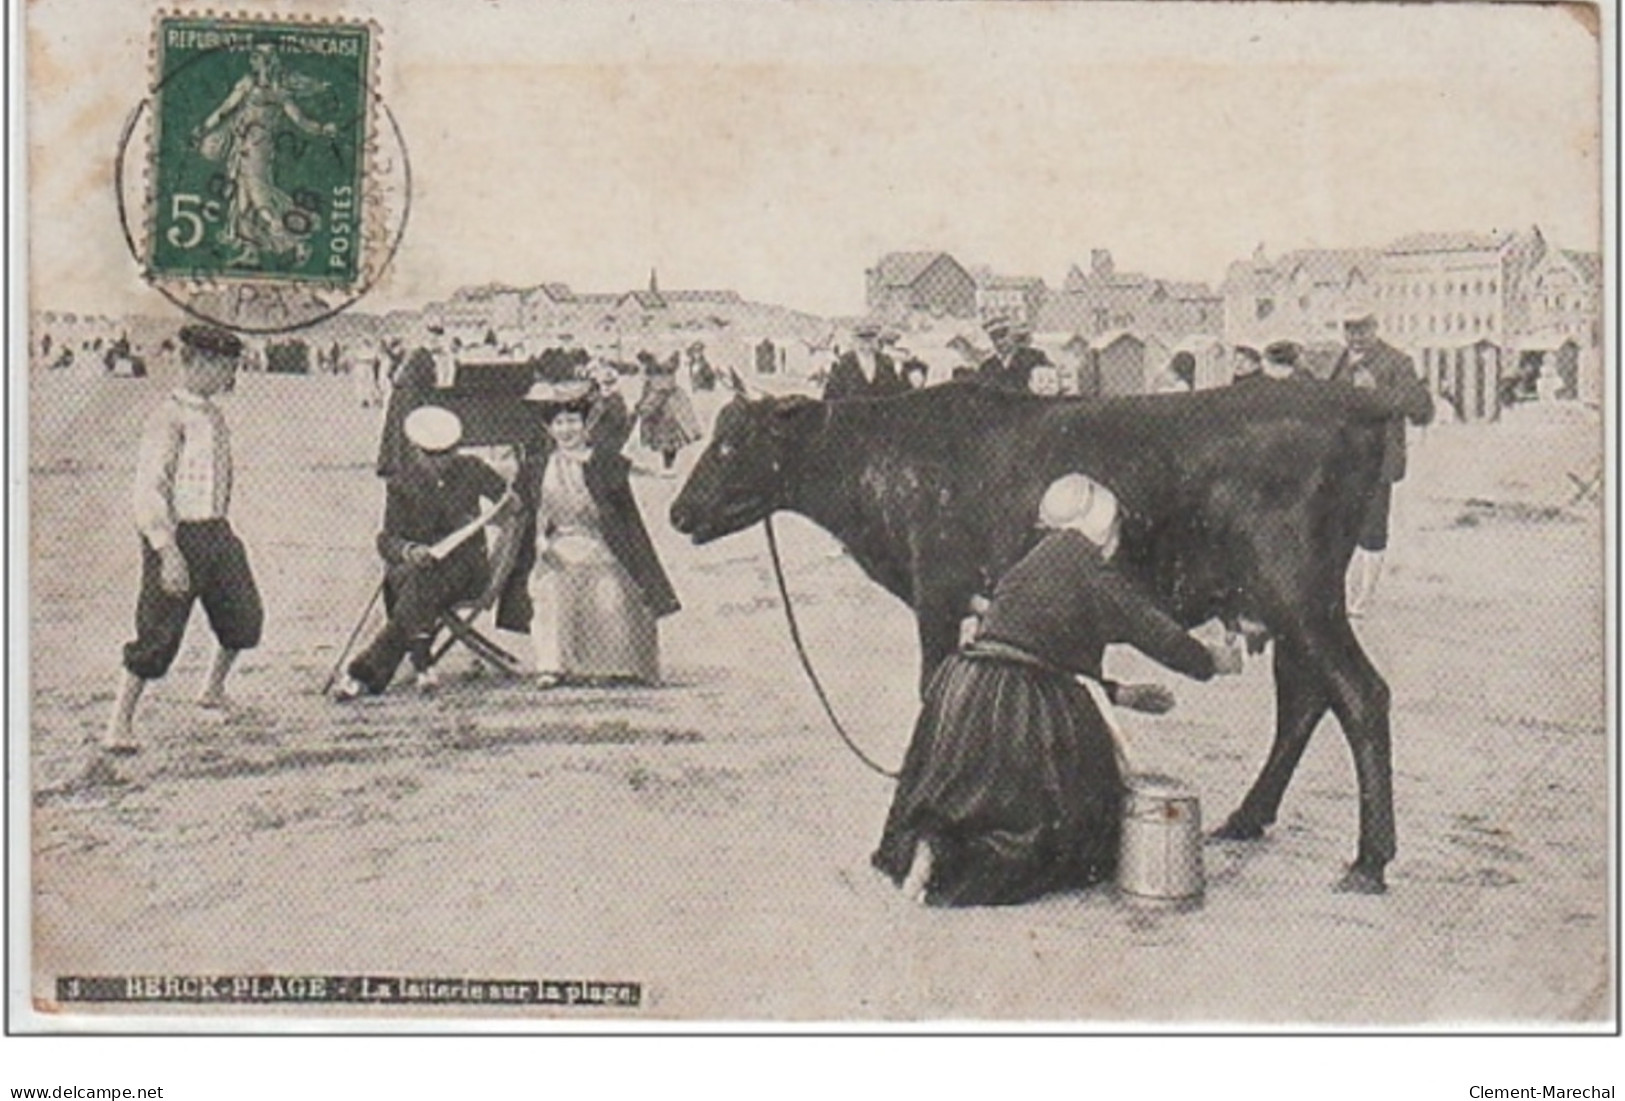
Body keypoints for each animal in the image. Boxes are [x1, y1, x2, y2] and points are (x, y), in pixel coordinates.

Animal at [666, 379, 1430, 896]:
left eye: (731, 441)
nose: (676, 512)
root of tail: (1352, 399)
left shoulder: (938, 596)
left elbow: (930, 688)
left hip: (1301, 595)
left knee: (1360, 694)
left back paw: (1369, 860)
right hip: (1284, 605)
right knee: (1304, 697)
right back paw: (1246, 816)